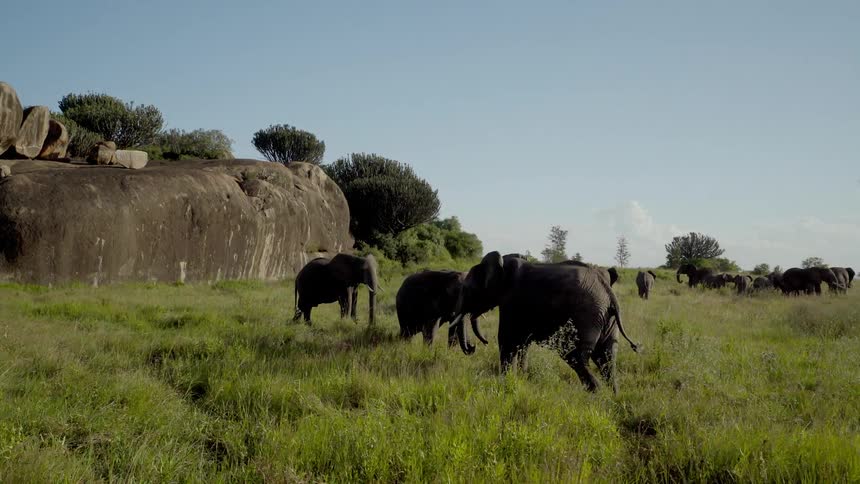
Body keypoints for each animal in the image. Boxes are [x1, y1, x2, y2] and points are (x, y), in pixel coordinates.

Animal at [449, 252, 639, 394]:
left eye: (468, 290)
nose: (473, 346)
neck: (503, 265)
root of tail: (608, 291)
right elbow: (521, 344)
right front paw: (519, 378)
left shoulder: (512, 302)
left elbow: (507, 341)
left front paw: (505, 385)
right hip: (607, 320)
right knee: (607, 359)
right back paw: (612, 398)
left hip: (585, 317)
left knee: (575, 357)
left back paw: (596, 397)